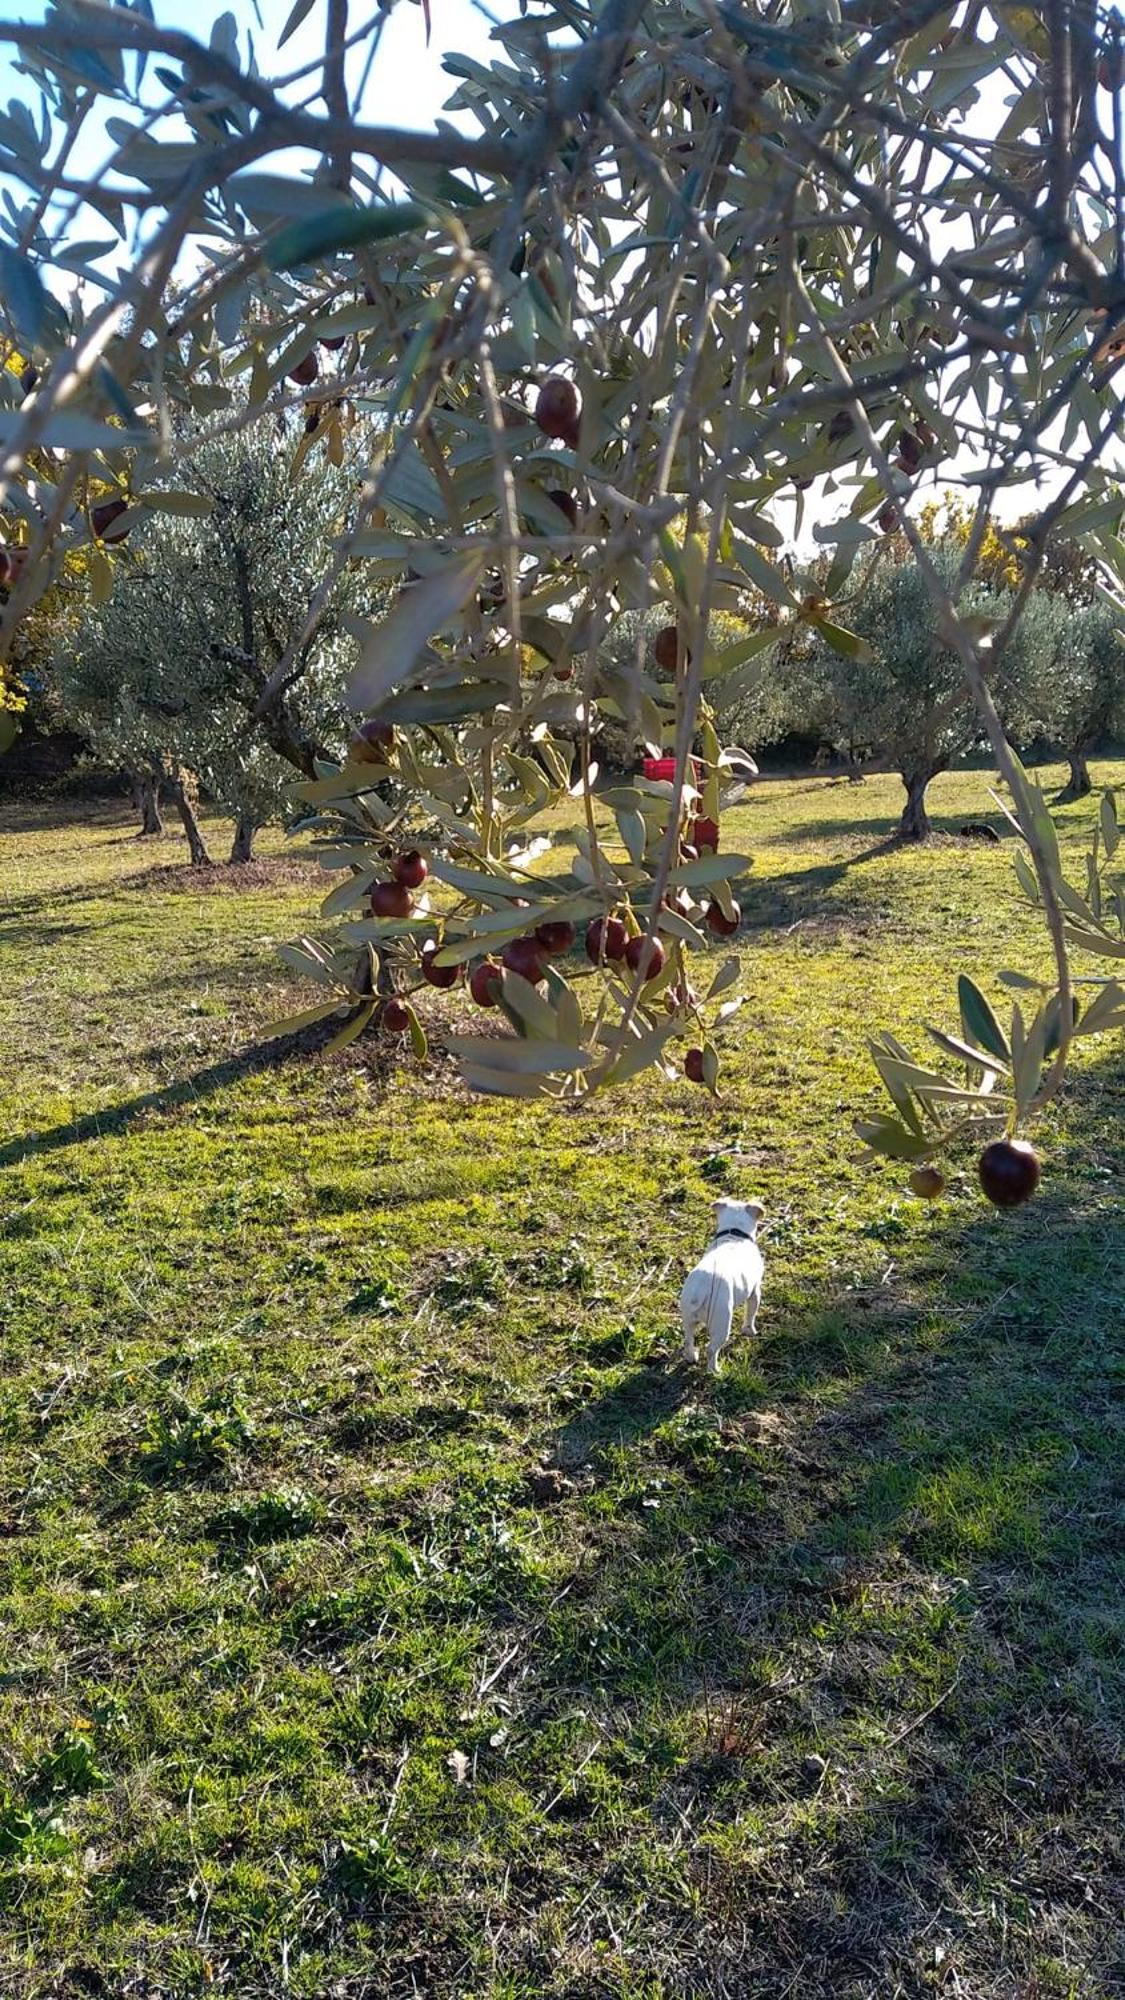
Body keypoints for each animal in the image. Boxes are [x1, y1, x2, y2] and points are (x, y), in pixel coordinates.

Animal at [672, 1200, 760, 1376]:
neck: (734, 1235)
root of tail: (700, 1290)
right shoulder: (755, 1292)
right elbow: (751, 1315)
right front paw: (750, 1331)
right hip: (722, 1325)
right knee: (711, 1349)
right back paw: (715, 1371)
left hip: (688, 1319)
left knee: (688, 1340)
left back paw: (691, 1357)